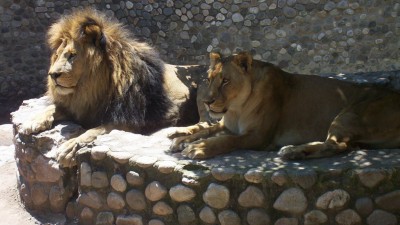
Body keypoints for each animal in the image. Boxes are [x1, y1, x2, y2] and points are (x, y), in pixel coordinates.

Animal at [21, 8, 208, 167]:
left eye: (72, 55)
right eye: (58, 55)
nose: (52, 75)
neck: (93, 89)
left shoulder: (135, 121)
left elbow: (95, 131)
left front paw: (69, 147)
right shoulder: (81, 107)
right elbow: (53, 108)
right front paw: (32, 122)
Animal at [170, 51, 400, 160]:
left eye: (226, 81)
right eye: (209, 79)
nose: (207, 102)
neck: (236, 108)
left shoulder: (259, 136)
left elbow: (226, 140)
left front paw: (199, 147)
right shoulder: (227, 124)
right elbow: (206, 129)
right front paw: (182, 140)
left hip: (348, 114)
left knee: (337, 145)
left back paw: (292, 151)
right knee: (345, 146)